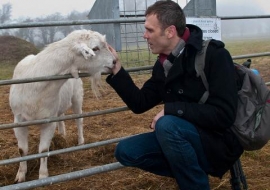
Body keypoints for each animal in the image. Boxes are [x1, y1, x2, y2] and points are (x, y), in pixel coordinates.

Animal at [8, 29, 115, 183]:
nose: (114, 62)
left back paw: (80, 141)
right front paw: (20, 175)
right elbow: (22, 150)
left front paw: (43, 176)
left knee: (79, 120)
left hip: (77, 97)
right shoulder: (18, 120)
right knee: (61, 116)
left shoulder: (48, 121)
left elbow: (43, 150)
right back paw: (62, 135)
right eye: (95, 48)